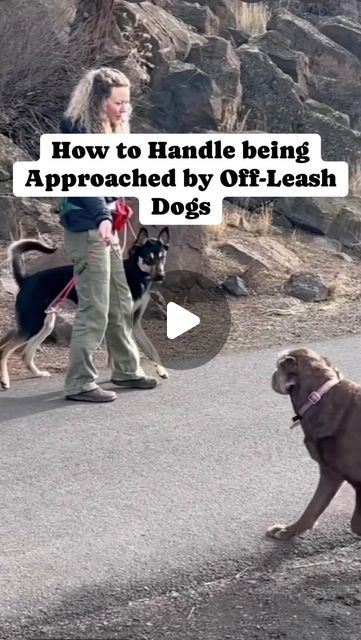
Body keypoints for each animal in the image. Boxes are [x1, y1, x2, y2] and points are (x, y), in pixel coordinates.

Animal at [0, 230, 169, 390]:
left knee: (25, 354)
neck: (135, 273)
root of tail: (26, 279)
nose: (161, 276)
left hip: (46, 325)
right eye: (148, 258)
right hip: (33, 325)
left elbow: (150, 349)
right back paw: (5, 380)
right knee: (4, 350)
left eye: (162, 257)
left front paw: (161, 370)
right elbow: (132, 351)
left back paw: (38, 373)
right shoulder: (124, 322)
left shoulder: (134, 323)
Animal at [266, 350, 360, 540]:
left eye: (278, 366)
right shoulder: (330, 473)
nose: (271, 374)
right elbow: (313, 508)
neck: (317, 397)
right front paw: (289, 530)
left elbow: (355, 523)